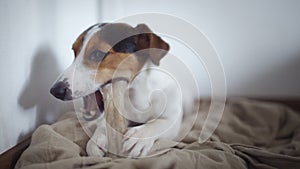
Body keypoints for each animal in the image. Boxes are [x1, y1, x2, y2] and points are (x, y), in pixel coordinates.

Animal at [50, 23, 196, 158]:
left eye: (97, 54)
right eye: (74, 52)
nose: (55, 91)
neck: (137, 94)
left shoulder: (174, 121)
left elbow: (158, 123)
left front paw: (140, 136)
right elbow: (103, 126)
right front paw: (97, 139)